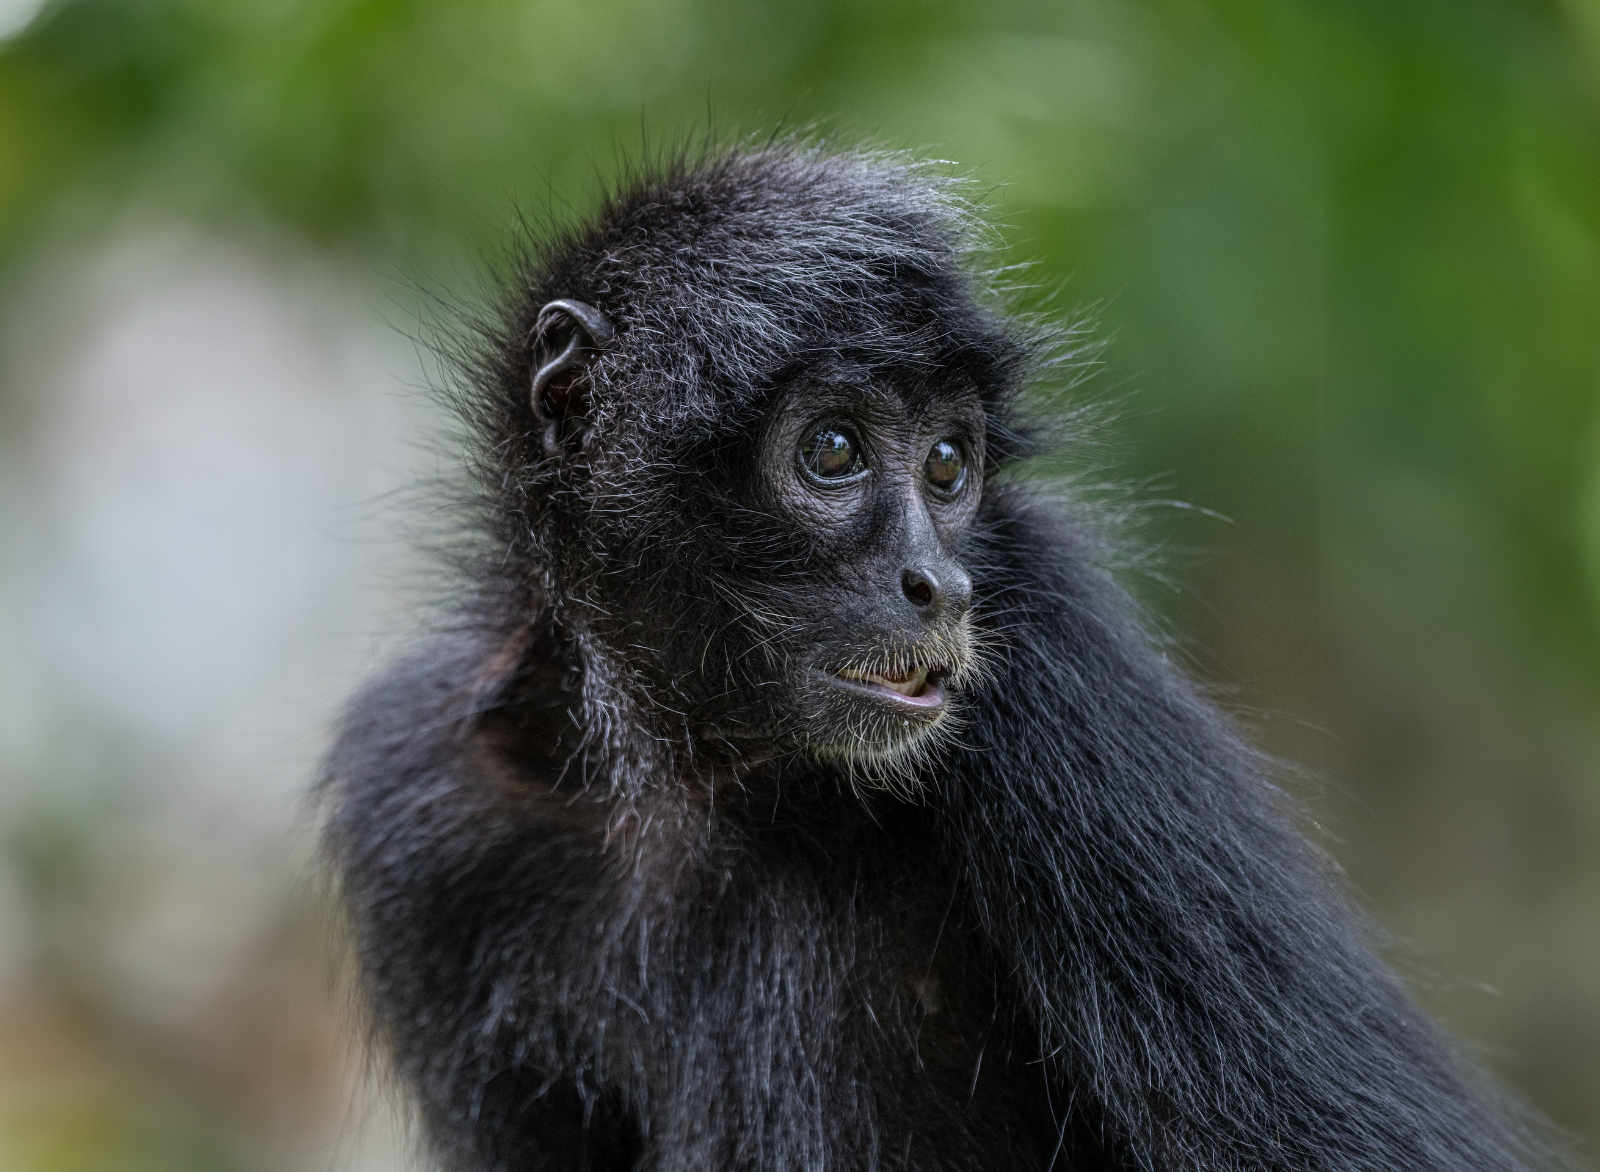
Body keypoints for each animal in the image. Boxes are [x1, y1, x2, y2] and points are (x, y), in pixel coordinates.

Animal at [318, 141, 1568, 1165]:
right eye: (831, 448)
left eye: (949, 463)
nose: (944, 585)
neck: (694, 779)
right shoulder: (422, 798)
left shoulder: (1048, 651)